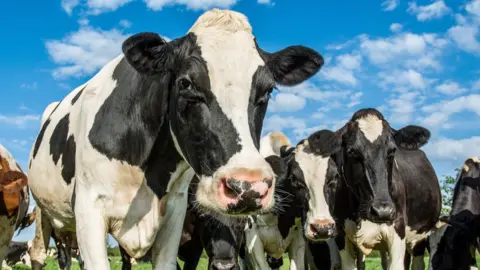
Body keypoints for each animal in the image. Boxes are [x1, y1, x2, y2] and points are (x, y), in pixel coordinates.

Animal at [27, 8, 326, 270]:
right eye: (186, 83)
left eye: (267, 91)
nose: (248, 187)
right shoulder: (89, 208)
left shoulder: (174, 212)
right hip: (48, 215)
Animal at [306, 108, 440, 270]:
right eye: (352, 151)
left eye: (392, 150)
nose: (383, 211)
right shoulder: (341, 236)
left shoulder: (398, 231)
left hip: (419, 238)